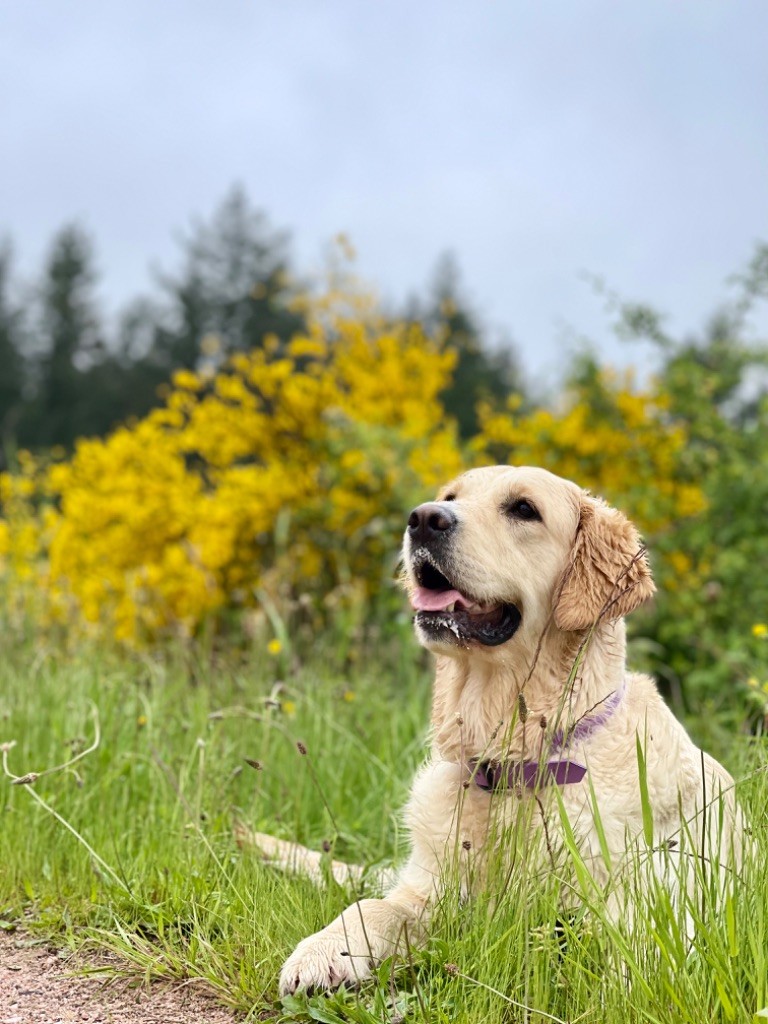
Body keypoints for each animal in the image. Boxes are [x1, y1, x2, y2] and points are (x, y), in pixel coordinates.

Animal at [272, 468, 745, 995]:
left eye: (523, 509)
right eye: (450, 497)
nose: (423, 519)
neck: (513, 762)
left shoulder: (647, 919)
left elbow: (631, 973)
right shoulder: (430, 890)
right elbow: (372, 907)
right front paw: (321, 951)